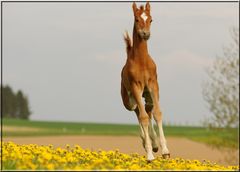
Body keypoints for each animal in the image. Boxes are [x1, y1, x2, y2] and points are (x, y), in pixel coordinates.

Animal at [121, 2, 170, 161]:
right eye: (137, 19)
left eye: (151, 19)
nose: (145, 34)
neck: (141, 61)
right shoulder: (136, 87)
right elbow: (143, 118)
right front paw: (149, 155)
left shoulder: (153, 85)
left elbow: (157, 113)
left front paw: (165, 151)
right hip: (129, 101)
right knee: (138, 112)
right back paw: (147, 142)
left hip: (147, 95)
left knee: (148, 110)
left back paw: (154, 144)